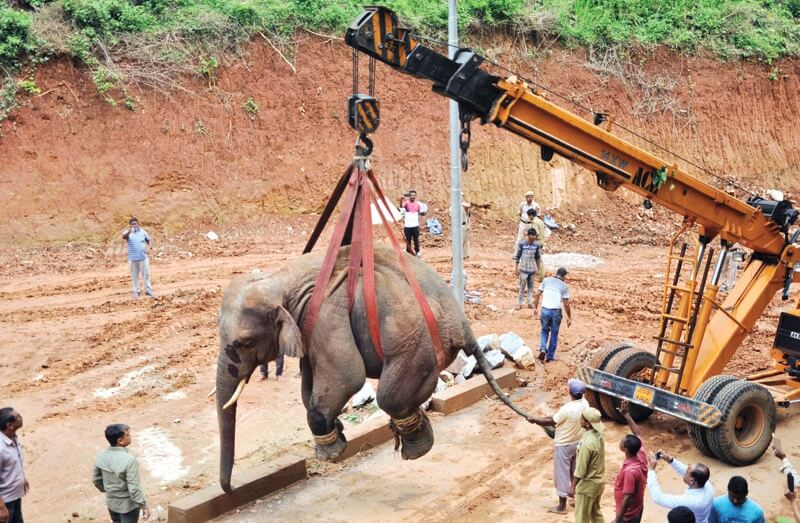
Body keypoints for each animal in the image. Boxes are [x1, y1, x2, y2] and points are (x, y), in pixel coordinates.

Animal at [219, 244, 532, 494]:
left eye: (245, 342)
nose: (232, 490)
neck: (279, 278)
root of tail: (463, 325)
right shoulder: (309, 327)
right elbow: (310, 384)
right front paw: (335, 438)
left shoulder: (326, 315)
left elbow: (347, 375)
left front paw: (330, 452)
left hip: (414, 345)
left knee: (390, 397)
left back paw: (416, 447)